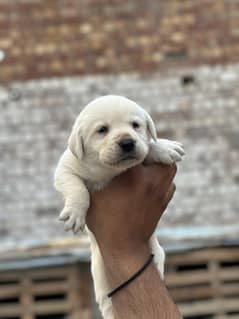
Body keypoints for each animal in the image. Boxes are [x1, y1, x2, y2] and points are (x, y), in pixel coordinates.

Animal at [54, 95, 185, 319]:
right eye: (102, 130)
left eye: (135, 125)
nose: (127, 142)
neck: (109, 170)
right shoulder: (66, 168)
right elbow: (76, 188)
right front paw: (75, 213)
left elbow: (147, 147)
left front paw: (163, 147)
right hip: (101, 277)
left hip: (156, 253)